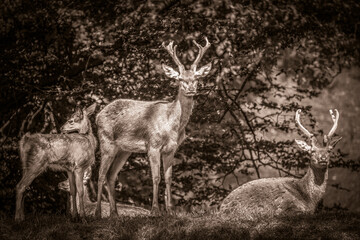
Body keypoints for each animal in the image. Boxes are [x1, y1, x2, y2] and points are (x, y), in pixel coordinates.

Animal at [95, 37, 212, 218]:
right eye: (180, 79)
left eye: (197, 77)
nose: (191, 89)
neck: (172, 126)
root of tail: (97, 116)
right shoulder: (153, 145)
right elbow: (156, 177)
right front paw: (155, 210)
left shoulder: (171, 149)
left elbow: (169, 178)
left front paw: (171, 210)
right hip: (106, 141)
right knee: (100, 175)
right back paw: (97, 213)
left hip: (124, 150)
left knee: (111, 175)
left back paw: (115, 213)